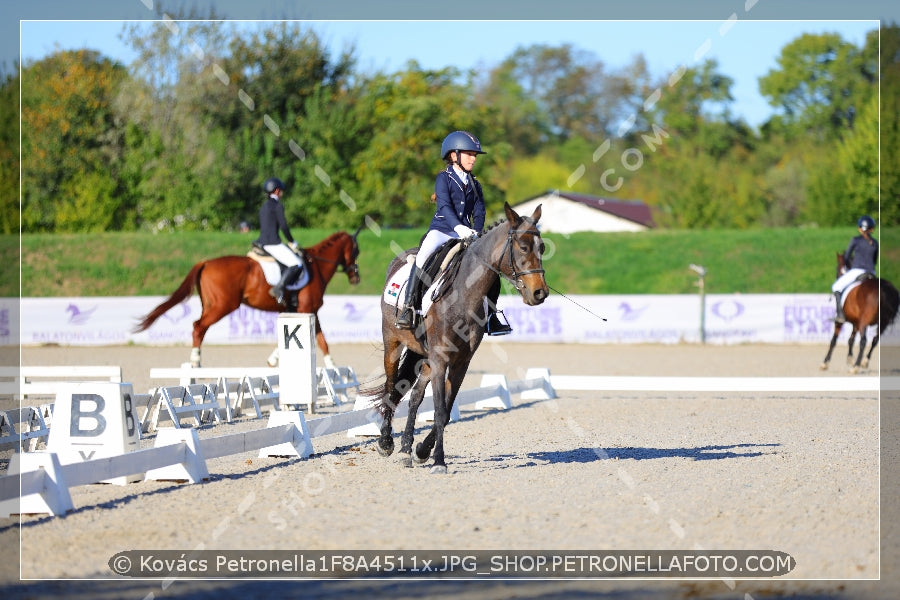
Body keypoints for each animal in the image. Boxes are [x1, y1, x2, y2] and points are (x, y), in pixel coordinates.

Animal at [135, 229, 360, 366]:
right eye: (356, 250)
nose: (356, 277)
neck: (317, 266)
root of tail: (206, 262)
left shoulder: (304, 311)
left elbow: (318, 340)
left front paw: (333, 368)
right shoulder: (307, 309)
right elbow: (310, 339)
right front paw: (274, 360)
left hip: (210, 305)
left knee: (199, 326)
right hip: (224, 305)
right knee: (198, 326)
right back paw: (195, 361)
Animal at [360, 204, 548, 476]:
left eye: (542, 247)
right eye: (523, 247)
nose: (540, 293)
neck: (463, 295)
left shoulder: (460, 362)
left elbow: (446, 411)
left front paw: (422, 451)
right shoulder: (440, 359)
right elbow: (438, 410)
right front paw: (438, 461)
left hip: (424, 355)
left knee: (414, 395)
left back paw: (406, 449)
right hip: (393, 343)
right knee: (391, 387)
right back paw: (386, 443)